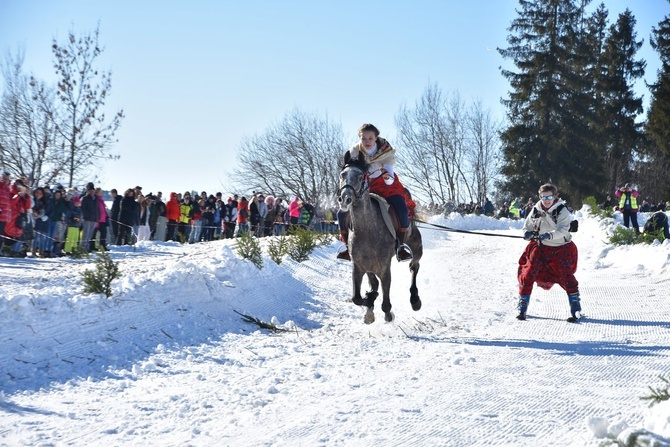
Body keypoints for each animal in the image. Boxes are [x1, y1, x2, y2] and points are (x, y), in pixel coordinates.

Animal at [338, 158, 422, 326]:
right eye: (342, 175)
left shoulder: (384, 267)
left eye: (360, 177)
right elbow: (357, 298)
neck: (367, 231)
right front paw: (369, 300)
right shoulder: (359, 267)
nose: (345, 199)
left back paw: (415, 300)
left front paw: (386, 312)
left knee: (414, 266)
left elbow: (385, 297)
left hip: (416, 242)